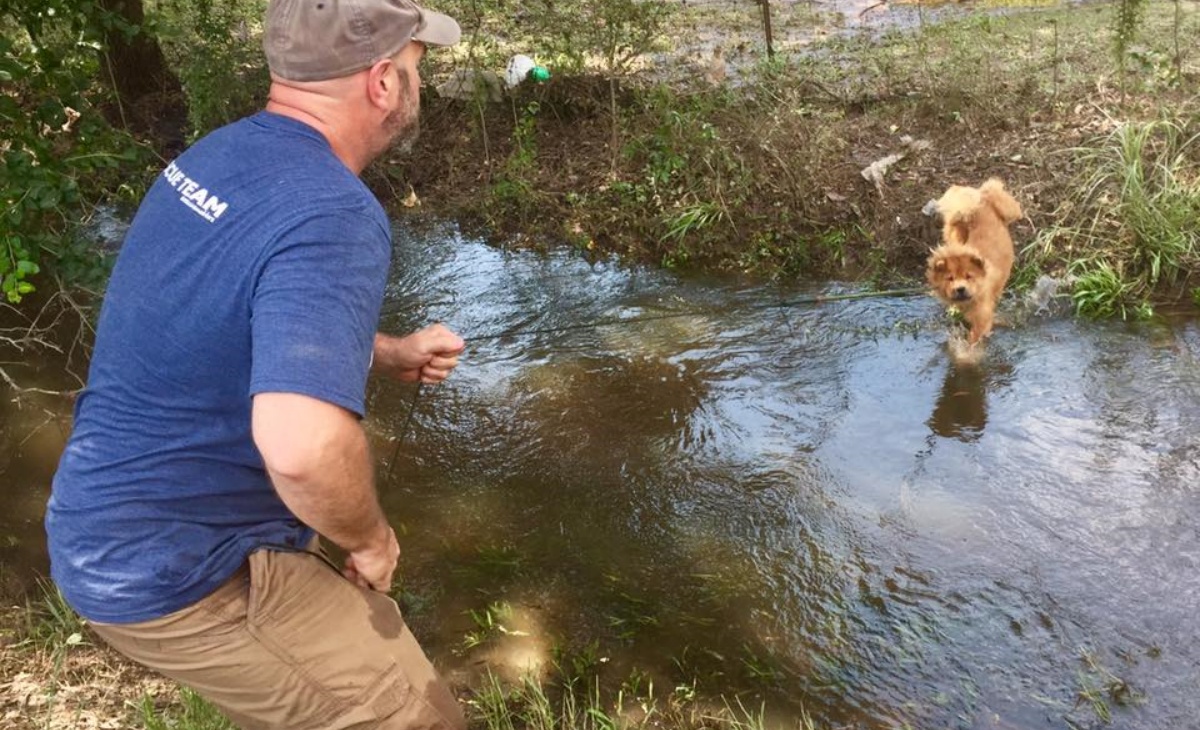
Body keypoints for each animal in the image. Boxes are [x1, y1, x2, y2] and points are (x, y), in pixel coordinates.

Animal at [926, 178, 1022, 345]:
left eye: (969, 276)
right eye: (950, 278)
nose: (960, 289)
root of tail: (982, 197)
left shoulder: (982, 318)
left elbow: (974, 338)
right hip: (952, 228)